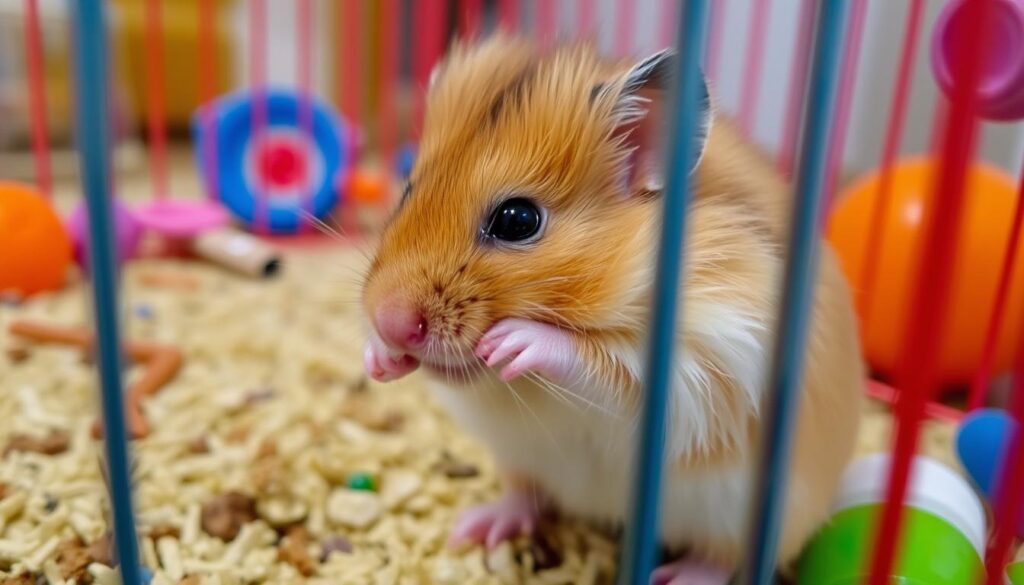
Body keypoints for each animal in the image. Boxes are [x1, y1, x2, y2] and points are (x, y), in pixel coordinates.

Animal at [364, 34, 860, 581]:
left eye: (518, 220)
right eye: (408, 190)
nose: (389, 322)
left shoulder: (715, 353)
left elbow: (599, 363)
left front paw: (514, 341)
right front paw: (379, 360)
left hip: (753, 515)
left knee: (721, 557)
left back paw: (677, 576)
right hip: (521, 460)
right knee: (527, 495)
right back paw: (477, 526)